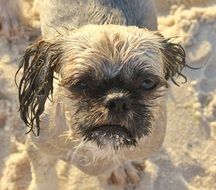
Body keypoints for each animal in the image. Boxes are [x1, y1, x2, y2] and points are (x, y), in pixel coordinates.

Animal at [15, 0, 187, 189]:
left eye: (147, 83)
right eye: (81, 83)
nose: (118, 101)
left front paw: (122, 167)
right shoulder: (39, 149)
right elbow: (45, 180)